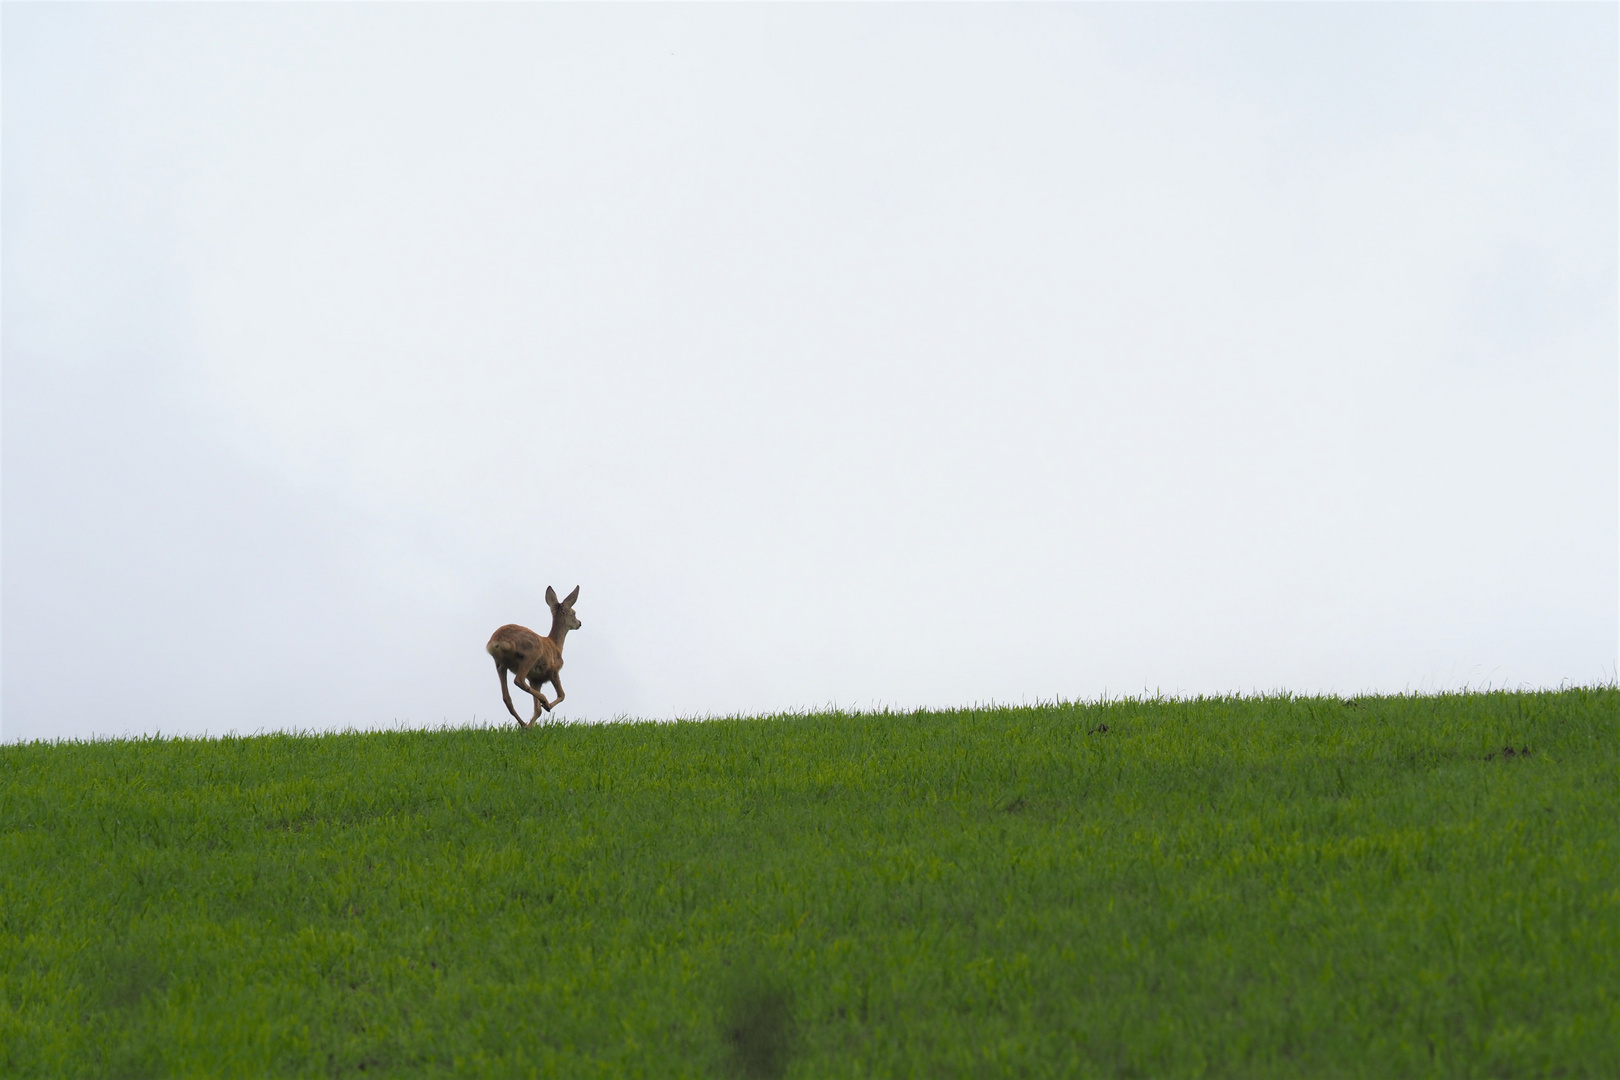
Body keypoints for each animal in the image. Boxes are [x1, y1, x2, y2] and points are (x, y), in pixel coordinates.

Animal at [486, 586, 583, 731]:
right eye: (574, 613)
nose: (579, 623)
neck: (556, 645)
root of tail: (498, 640)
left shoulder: (535, 679)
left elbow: (537, 710)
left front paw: (531, 724)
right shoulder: (553, 670)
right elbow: (562, 695)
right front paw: (547, 706)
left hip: (499, 664)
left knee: (506, 698)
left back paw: (524, 725)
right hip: (530, 655)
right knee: (518, 681)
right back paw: (544, 701)